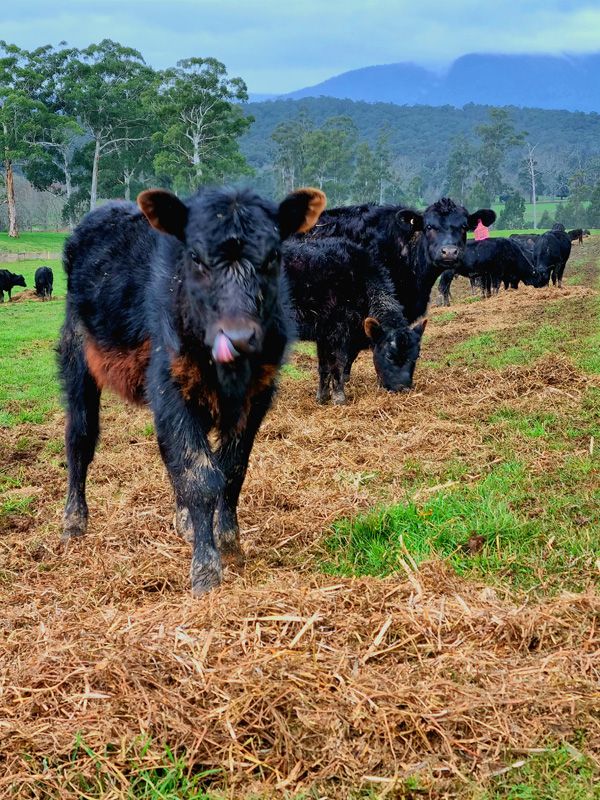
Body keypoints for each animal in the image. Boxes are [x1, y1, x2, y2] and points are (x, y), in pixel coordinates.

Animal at [58, 185, 326, 596]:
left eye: (273, 257)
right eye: (196, 258)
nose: (239, 338)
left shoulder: (256, 398)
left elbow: (231, 471)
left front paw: (229, 544)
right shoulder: (172, 389)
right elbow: (200, 476)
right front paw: (206, 569)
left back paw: (183, 521)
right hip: (77, 356)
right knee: (80, 438)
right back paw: (74, 521)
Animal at [282, 237, 426, 404]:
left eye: (416, 356)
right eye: (389, 355)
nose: (403, 387)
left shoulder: (323, 333)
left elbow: (324, 367)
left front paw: (322, 398)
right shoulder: (338, 329)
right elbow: (338, 363)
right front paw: (339, 399)